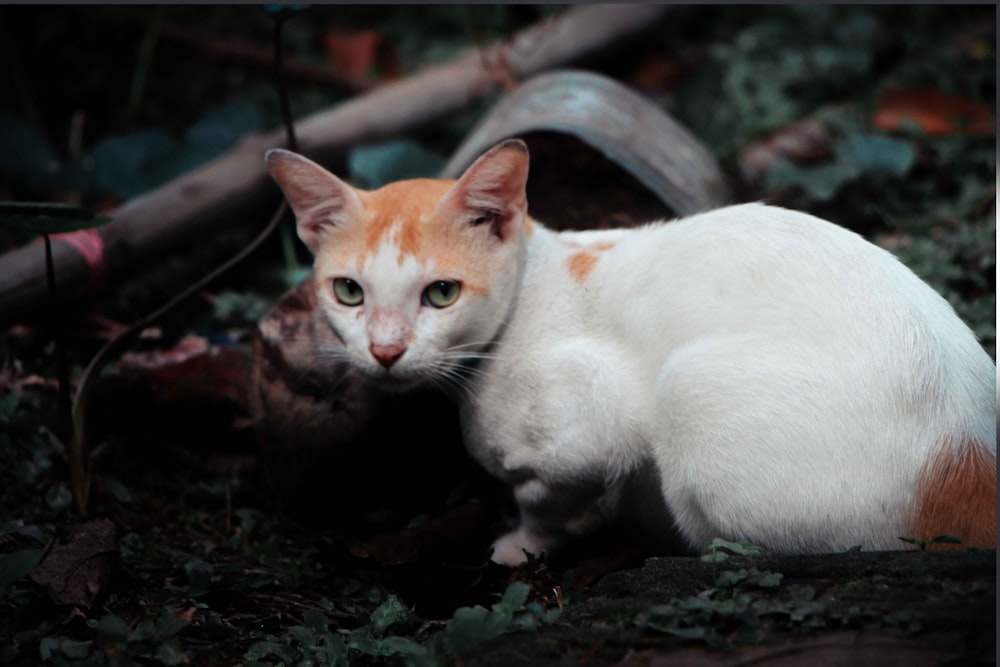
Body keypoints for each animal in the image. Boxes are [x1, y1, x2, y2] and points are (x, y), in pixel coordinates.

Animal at [264, 140, 992, 564]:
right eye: (349, 292)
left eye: (440, 293)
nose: (385, 350)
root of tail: (969, 451)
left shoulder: (588, 427)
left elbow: (543, 497)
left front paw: (523, 544)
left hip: (687, 388)